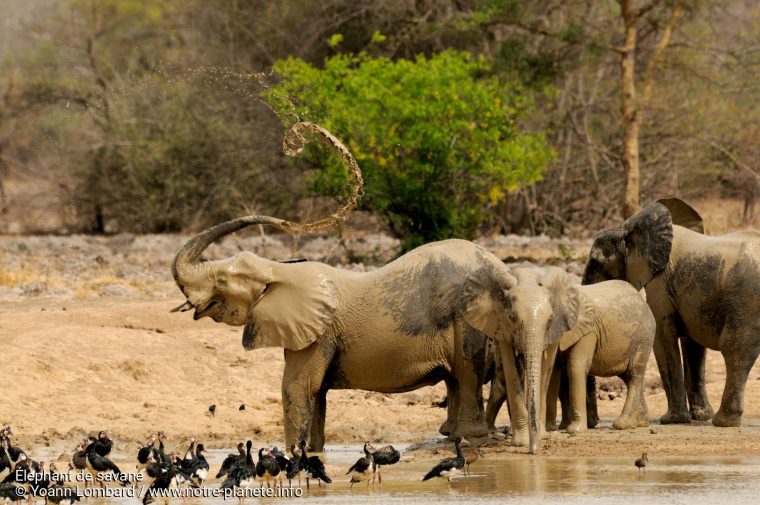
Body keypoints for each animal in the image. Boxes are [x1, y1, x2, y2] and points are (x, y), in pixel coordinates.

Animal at [172, 121, 516, 448]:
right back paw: (451, 433)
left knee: (466, 374)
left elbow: (297, 388)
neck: (279, 270)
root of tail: (499, 264)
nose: (295, 139)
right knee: (455, 379)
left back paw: (467, 435)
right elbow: (316, 394)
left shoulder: (318, 334)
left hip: (467, 317)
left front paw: (293, 456)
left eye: (221, 280)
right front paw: (312, 452)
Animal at [548, 278, 656, 432]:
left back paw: (622, 424)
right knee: (628, 377)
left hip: (643, 338)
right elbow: (554, 371)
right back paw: (640, 423)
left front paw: (574, 430)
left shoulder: (588, 331)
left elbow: (576, 367)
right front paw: (553, 428)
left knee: (634, 374)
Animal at [580, 197, 760, 426]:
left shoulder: (661, 283)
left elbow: (663, 336)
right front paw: (699, 417)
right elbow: (693, 345)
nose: (593, 423)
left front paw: (672, 419)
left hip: (746, 299)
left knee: (735, 349)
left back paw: (722, 421)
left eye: (597, 263)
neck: (626, 227)